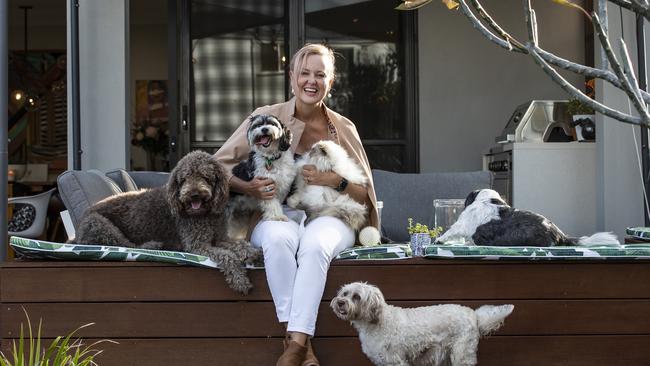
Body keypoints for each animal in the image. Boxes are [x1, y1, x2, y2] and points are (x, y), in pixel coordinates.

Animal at [71, 151, 260, 294]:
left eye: (205, 176)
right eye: (184, 178)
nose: (194, 194)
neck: (204, 214)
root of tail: (76, 234)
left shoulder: (219, 238)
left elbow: (238, 244)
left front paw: (250, 252)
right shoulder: (197, 245)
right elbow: (228, 256)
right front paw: (239, 279)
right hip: (98, 223)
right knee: (126, 245)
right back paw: (153, 245)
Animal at [332, 282, 512, 364]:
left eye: (357, 296)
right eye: (345, 293)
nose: (339, 302)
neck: (378, 321)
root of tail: (474, 314)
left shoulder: (395, 361)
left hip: (461, 354)